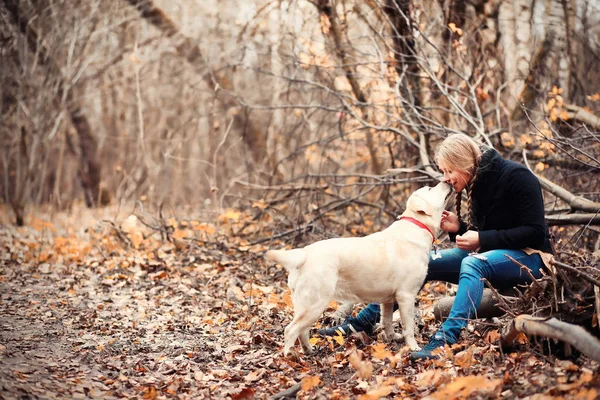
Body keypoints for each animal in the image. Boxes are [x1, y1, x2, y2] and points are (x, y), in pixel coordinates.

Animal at [264, 182, 452, 356]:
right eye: (430, 189)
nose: (448, 181)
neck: (417, 226)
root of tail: (304, 253)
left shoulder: (388, 299)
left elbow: (387, 321)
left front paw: (392, 337)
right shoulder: (406, 295)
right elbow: (409, 327)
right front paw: (413, 346)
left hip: (305, 304)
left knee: (301, 330)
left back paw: (309, 350)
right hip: (315, 303)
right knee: (291, 330)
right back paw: (290, 357)